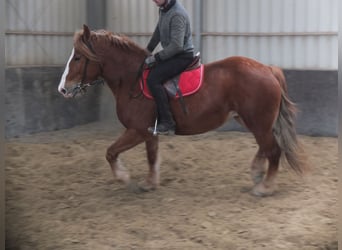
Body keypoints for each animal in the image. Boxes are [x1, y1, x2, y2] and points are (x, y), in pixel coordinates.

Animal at [57, 25, 306, 197]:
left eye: (78, 57)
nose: (63, 89)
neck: (131, 80)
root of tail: (268, 69)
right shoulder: (149, 132)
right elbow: (151, 156)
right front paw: (150, 183)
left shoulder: (136, 131)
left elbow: (110, 152)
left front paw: (123, 177)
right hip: (251, 121)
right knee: (266, 147)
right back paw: (257, 173)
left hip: (258, 122)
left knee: (273, 150)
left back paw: (265, 187)